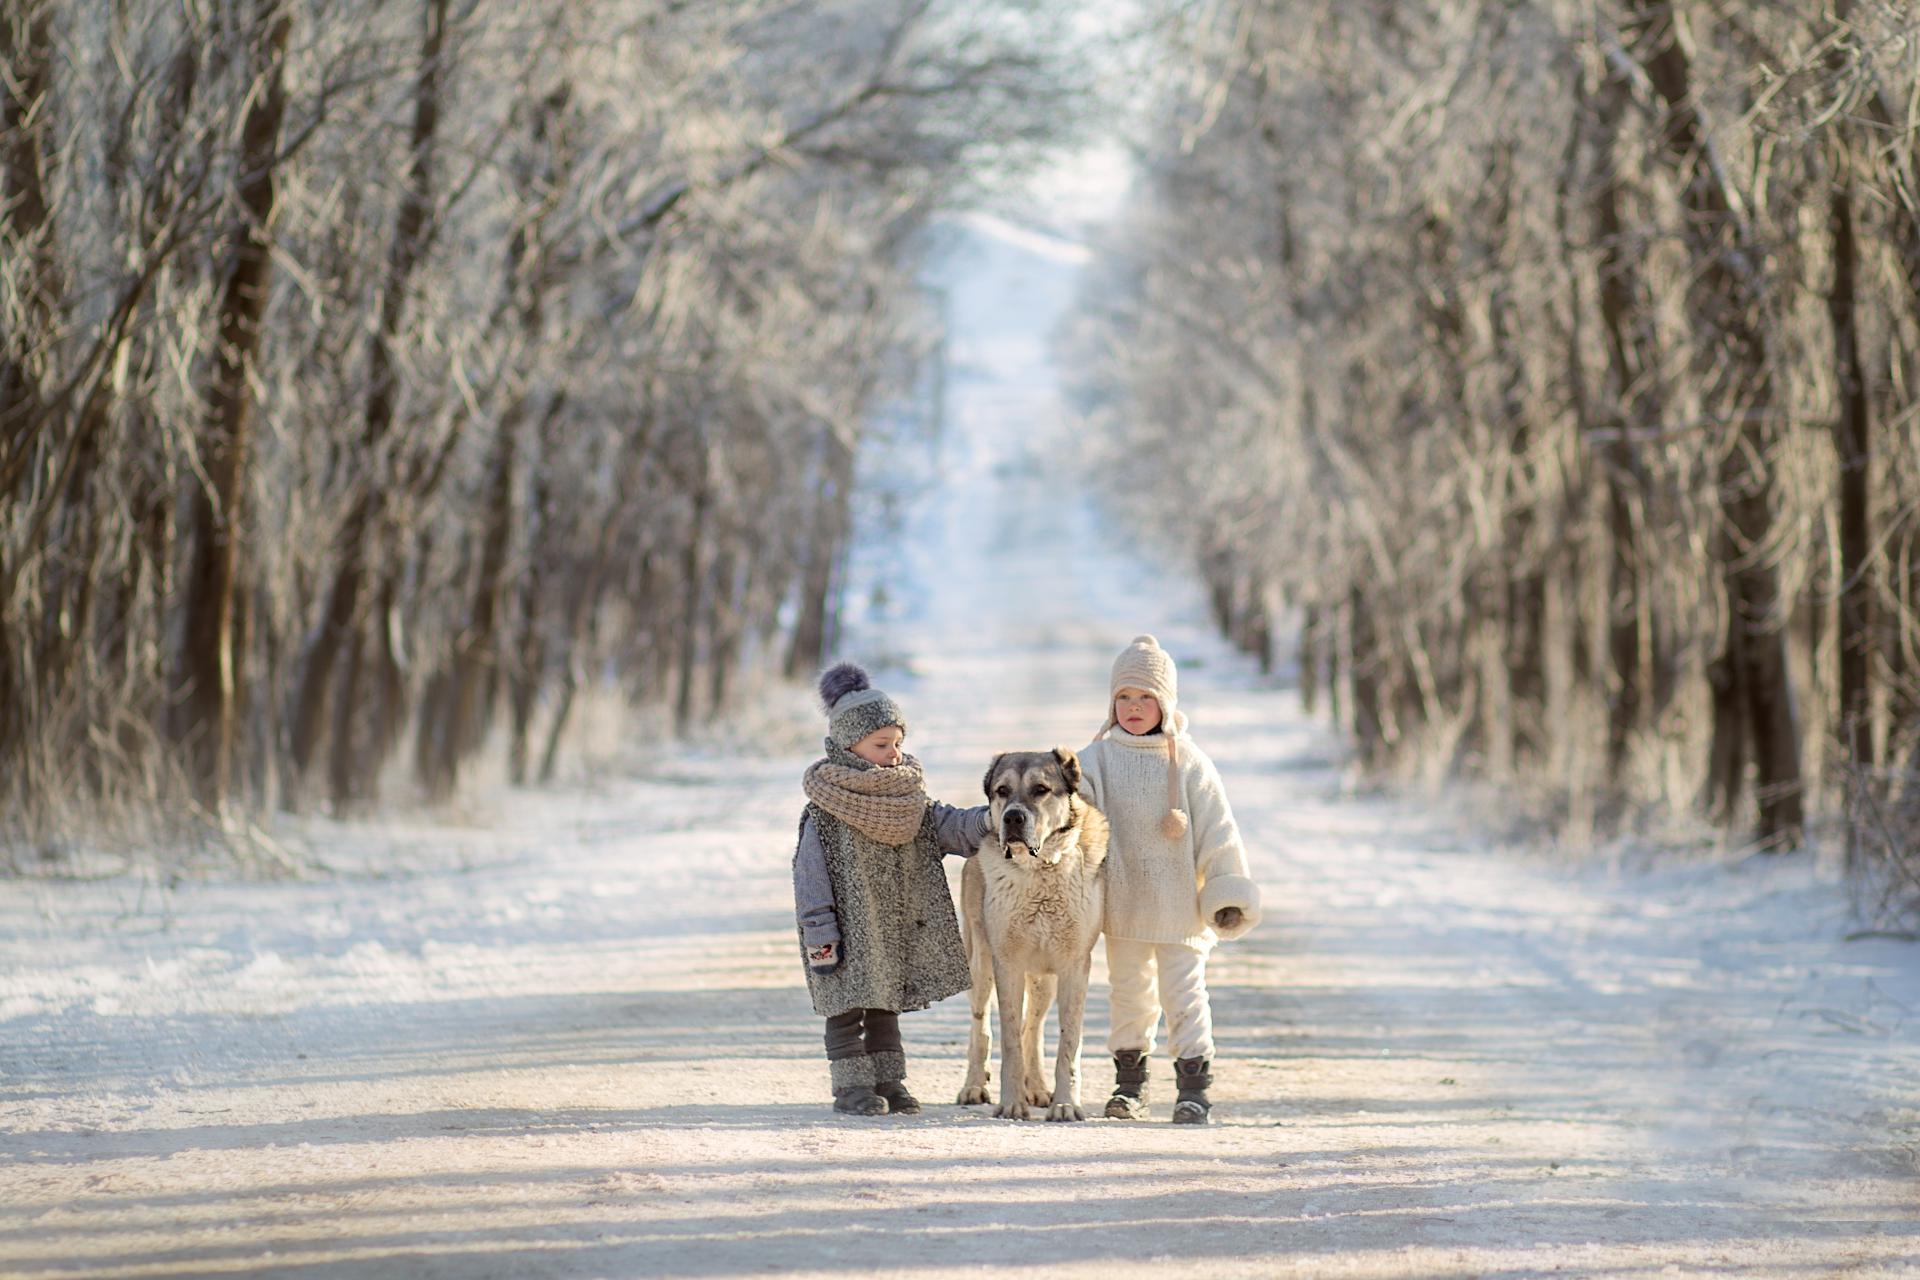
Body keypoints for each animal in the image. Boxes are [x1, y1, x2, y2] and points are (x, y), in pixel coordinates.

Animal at [956, 752, 1113, 1120]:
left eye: (1041, 789)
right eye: (1002, 791)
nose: (1013, 817)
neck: (1041, 872)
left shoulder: (1074, 966)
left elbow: (1068, 1042)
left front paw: (1065, 1104)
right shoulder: (1007, 964)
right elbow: (1009, 1038)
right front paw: (1012, 1102)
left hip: (1044, 980)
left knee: (1034, 1027)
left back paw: (1039, 1089)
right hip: (980, 964)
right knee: (981, 1026)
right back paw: (974, 1086)